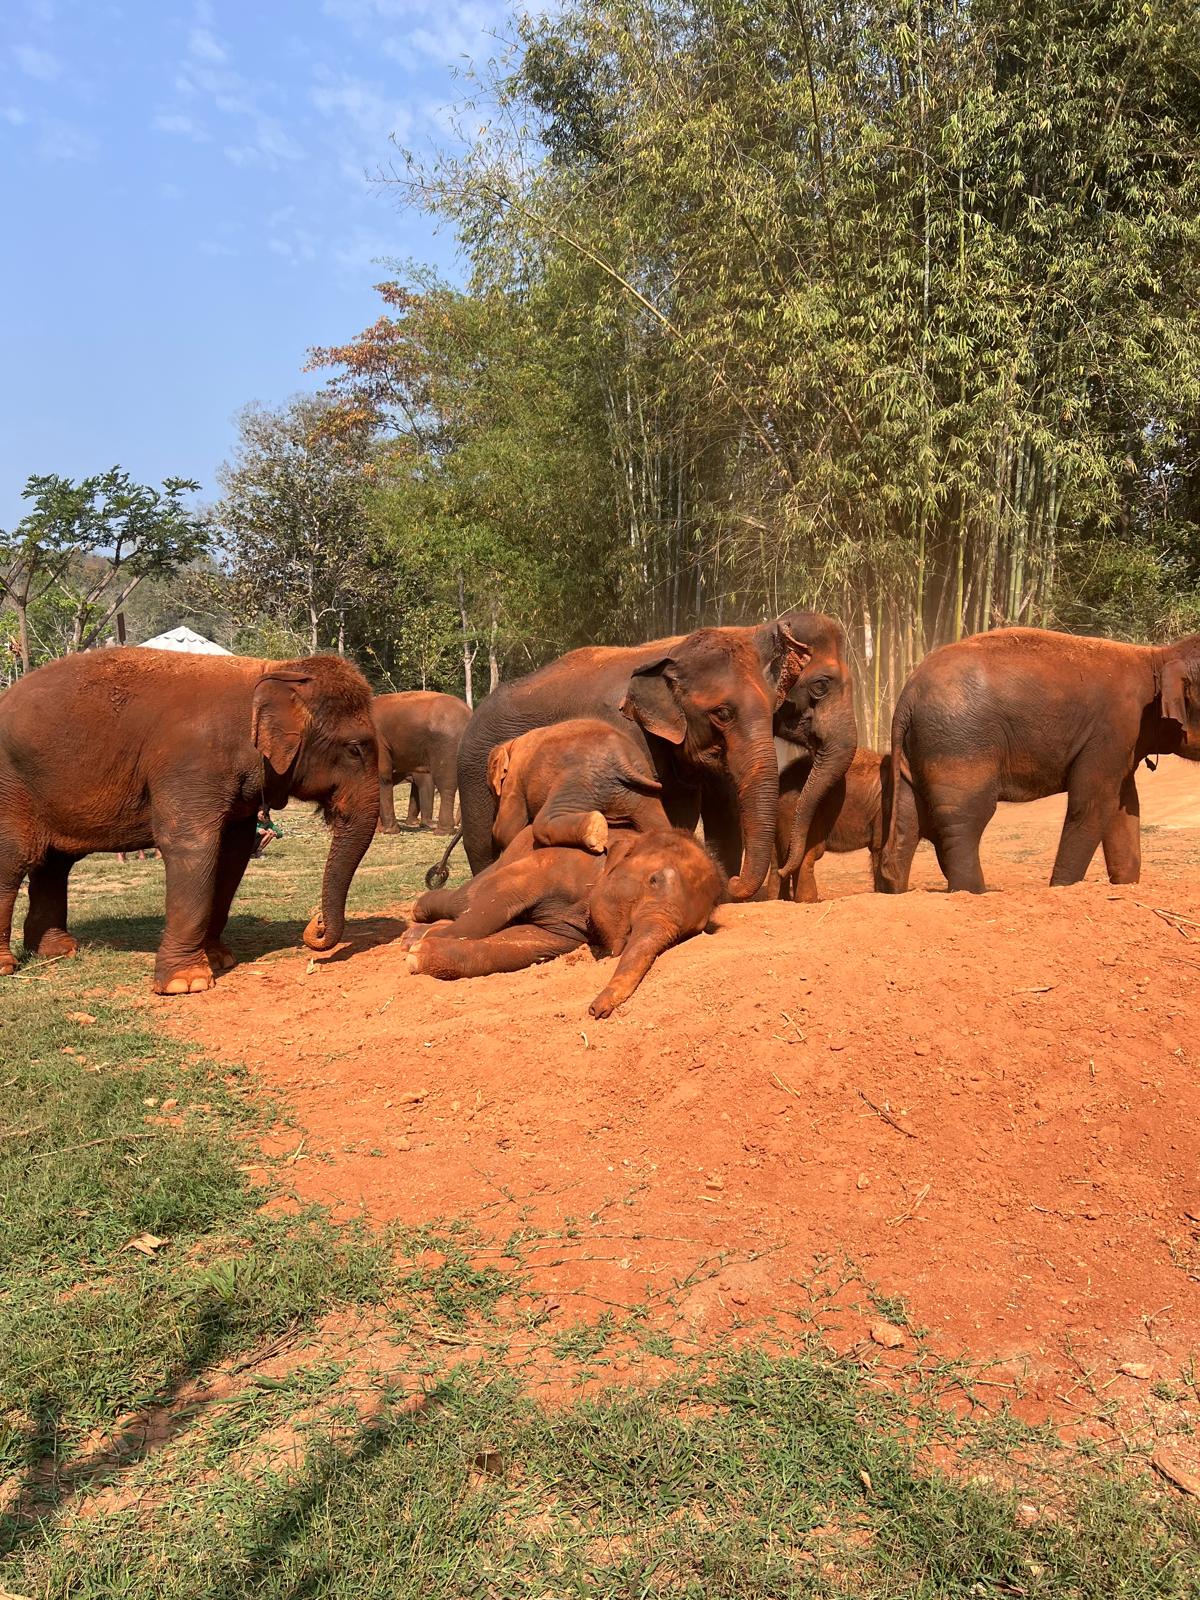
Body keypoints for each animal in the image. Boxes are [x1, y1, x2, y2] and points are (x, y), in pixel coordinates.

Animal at [0, 648, 380, 992]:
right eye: (354, 749)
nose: (316, 925)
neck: (274, 671)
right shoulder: (191, 764)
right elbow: (193, 846)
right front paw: (187, 983)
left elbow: (231, 855)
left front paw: (219, 959)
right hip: (11, 786)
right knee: (15, 859)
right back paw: (8, 966)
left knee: (54, 864)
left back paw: (59, 951)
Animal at [404, 827, 724, 1017]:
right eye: (654, 880)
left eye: (692, 931)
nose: (596, 1010)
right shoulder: (557, 863)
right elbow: (499, 897)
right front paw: (417, 950)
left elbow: (531, 941)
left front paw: (421, 954)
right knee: (466, 897)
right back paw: (418, 921)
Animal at [487, 718, 671, 854]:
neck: (510, 744)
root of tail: (621, 757)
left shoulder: (514, 778)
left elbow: (507, 829)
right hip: (640, 791)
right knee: (656, 823)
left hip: (582, 781)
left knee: (543, 822)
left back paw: (595, 831)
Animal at [880, 626, 1200, 893]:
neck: (1157, 658)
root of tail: (906, 696)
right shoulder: (1113, 728)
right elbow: (1093, 803)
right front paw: (1062, 888)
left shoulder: (1125, 741)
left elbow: (1124, 805)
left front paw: (1126, 886)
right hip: (959, 740)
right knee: (965, 817)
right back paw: (973, 892)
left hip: (921, 748)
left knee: (909, 818)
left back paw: (896, 889)